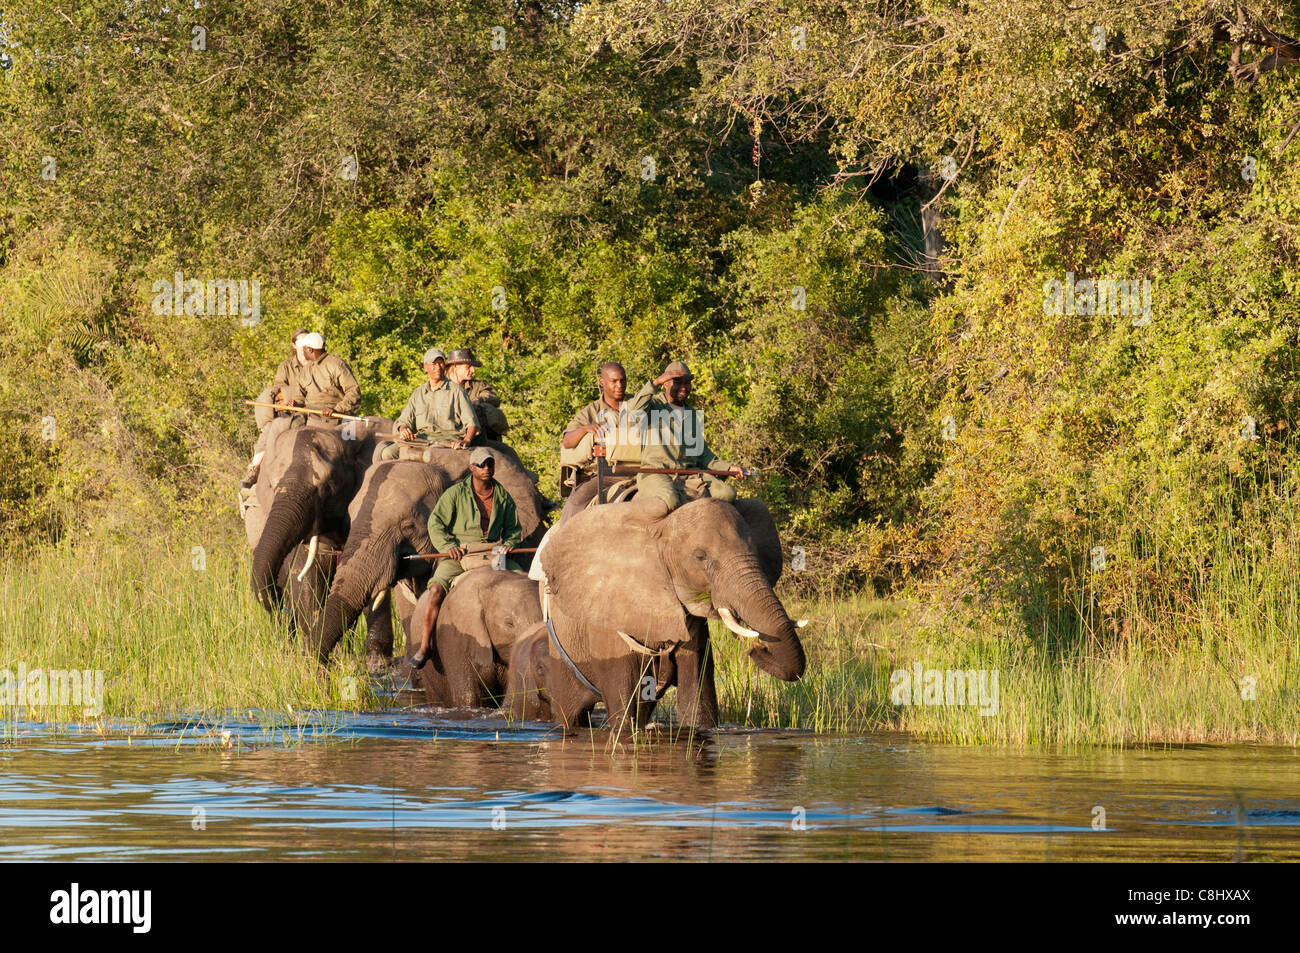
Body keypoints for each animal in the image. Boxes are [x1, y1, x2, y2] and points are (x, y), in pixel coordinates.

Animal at [521, 495, 805, 736]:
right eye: (700, 556)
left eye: (757, 551)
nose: (756, 649)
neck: (661, 529)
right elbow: (623, 712)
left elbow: (696, 700)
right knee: (571, 713)